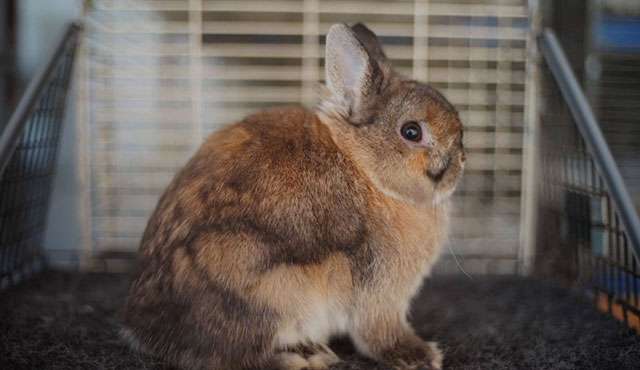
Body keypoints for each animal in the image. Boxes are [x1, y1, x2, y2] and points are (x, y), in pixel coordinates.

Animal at [122, 23, 464, 370]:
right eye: (411, 132)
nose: (459, 163)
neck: (366, 169)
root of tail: (144, 331)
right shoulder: (380, 291)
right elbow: (378, 332)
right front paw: (421, 356)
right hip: (268, 290)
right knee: (239, 357)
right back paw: (305, 356)